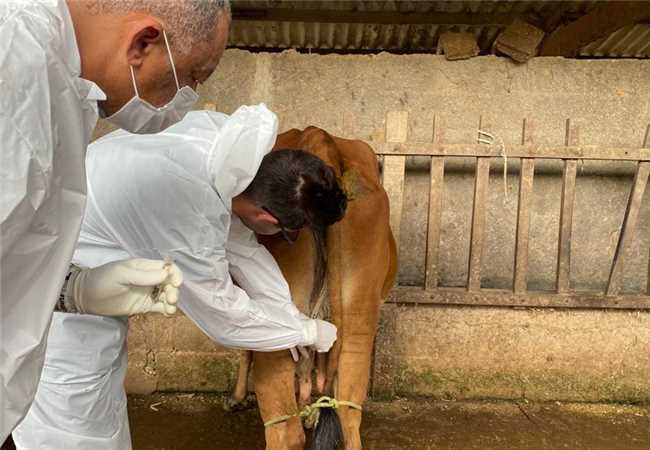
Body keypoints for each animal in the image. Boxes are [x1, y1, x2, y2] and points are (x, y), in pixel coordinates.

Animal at [225, 127, 394, 450]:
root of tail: (318, 135)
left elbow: (245, 350)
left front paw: (237, 398)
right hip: (358, 315)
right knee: (348, 416)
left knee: (285, 430)